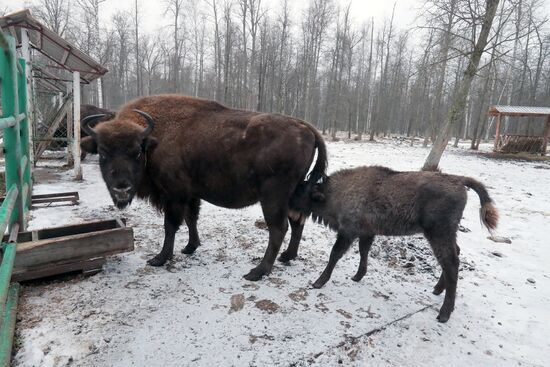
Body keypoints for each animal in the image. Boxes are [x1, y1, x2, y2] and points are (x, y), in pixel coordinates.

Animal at [81, 93, 328, 280]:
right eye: (102, 153)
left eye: (136, 152)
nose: (121, 189)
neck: (153, 139)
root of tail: (306, 127)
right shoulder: (191, 195)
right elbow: (191, 219)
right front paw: (190, 247)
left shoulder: (174, 195)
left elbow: (170, 226)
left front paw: (159, 258)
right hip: (293, 195)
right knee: (297, 223)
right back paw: (288, 256)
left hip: (272, 198)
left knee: (278, 228)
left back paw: (257, 272)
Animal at [288, 165, 500, 324]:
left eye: (301, 191)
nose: (285, 200)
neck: (335, 192)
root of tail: (459, 180)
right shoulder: (367, 233)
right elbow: (363, 252)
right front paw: (357, 276)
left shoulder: (348, 232)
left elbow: (335, 254)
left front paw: (318, 282)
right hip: (445, 235)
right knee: (454, 257)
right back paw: (437, 289)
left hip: (438, 234)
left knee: (451, 264)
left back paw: (443, 314)